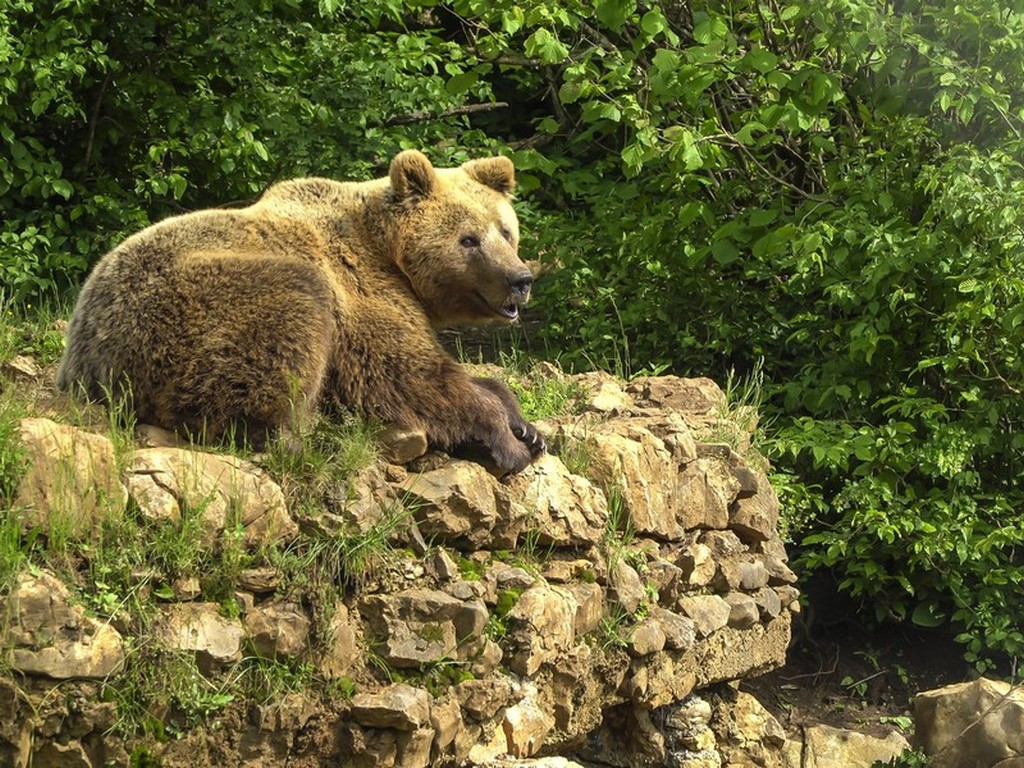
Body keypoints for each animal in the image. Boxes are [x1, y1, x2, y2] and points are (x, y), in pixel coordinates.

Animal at [58, 149, 544, 475]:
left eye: (505, 230)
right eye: (468, 239)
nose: (520, 279)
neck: (390, 255)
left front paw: (525, 425)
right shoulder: (358, 288)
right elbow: (402, 371)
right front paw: (506, 441)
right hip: (183, 309)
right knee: (289, 314)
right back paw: (290, 435)